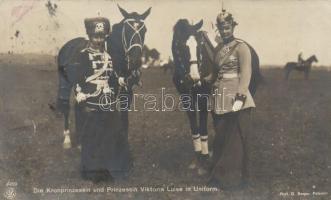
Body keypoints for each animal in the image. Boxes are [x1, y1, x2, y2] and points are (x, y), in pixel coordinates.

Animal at [57, 5, 151, 148]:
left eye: (144, 30)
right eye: (127, 31)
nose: (135, 61)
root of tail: (68, 45)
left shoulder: (126, 94)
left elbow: (124, 120)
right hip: (65, 84)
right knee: (66, 106)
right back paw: (67, 139)